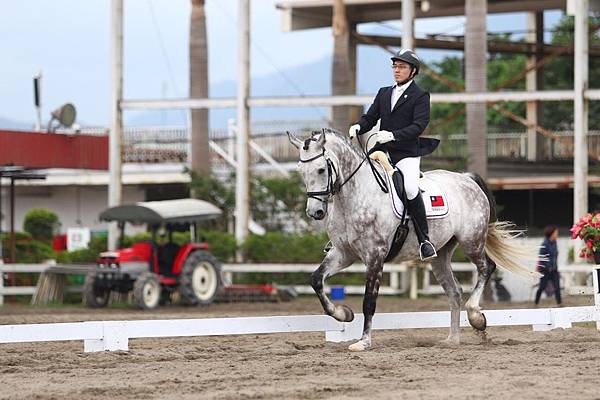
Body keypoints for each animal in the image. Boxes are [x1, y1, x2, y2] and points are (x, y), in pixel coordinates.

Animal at [288, 128, 540, 350]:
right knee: (455, 291)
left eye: (321, 169)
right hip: (440, 255)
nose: (315, 212)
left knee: (487, 268)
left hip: (472, 240)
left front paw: (363, 342)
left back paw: (476, 316)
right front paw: (344, 314)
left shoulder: (375, 256)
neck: (355, 196)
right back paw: (452, 340)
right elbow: (316, 280)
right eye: (301, 170)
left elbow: (369, 302)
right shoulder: (343, 254)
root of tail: (467, 178)